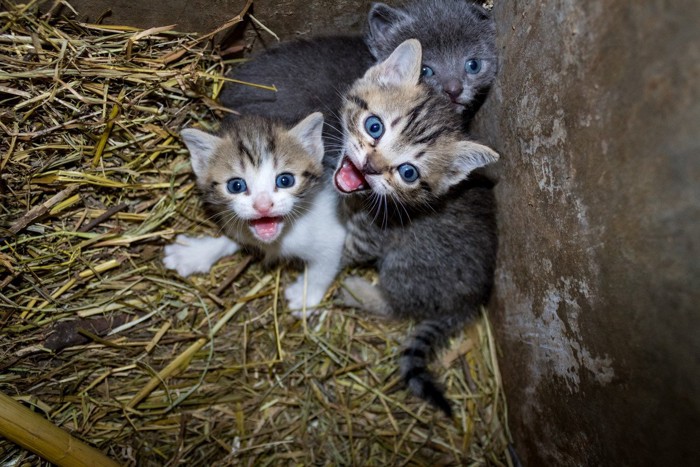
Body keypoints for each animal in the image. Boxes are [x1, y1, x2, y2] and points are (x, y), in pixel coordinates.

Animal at [332, 40, 498, 416]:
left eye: (408, 172)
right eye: (374, 126)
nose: (370, 166)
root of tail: (473, 300)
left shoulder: (371, 237)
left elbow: (344, 252)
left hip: (404, 267)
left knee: (399, 305)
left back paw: (359, 293)